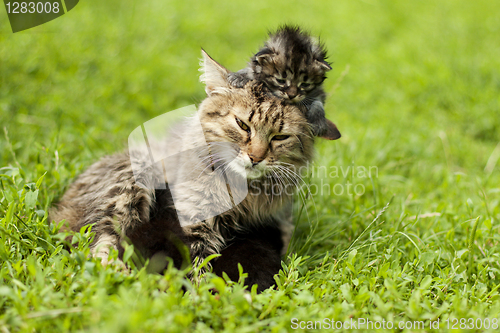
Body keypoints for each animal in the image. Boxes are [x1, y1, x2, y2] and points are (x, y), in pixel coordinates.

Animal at [50, 50, 316, 292]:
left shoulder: (278, 220)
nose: (256, 157)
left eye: (280, 137)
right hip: (132, 178)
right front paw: (204, 295)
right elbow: (198, 264)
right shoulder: (193, 218)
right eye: (242, 125)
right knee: (99, 243)